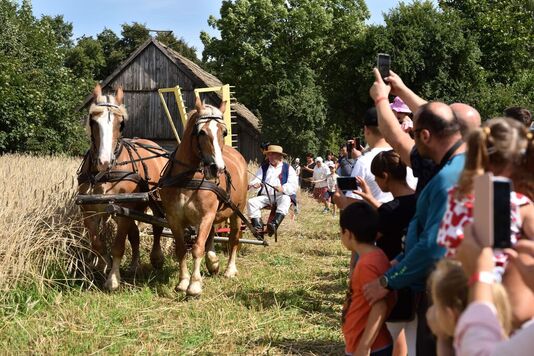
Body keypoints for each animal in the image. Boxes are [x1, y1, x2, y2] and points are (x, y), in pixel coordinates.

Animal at [77, 85, 169, 290]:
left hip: (155, 201)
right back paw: (134, 265)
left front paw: (113, 279)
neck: (104, 175)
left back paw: (157, 258)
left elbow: (118, 245)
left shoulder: (123, 210)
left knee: (158, 226)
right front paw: (103, 265)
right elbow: (98, 244)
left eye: (121, 124)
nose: (104, 161)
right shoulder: (89, 212)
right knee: (135, 234)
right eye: (93, 121)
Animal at [160, 97, 250, 298]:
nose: (218, 168)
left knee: (233, 238)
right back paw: (213, 263)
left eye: (224, 132)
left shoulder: (205, 216)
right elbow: (181, 249)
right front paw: (183, 281)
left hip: (236, 211)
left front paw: (194, 285)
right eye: (201, 132)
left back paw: (229, 269)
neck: (188, 179)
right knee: (212, 236)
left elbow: (197, 248)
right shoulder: (174, 218)